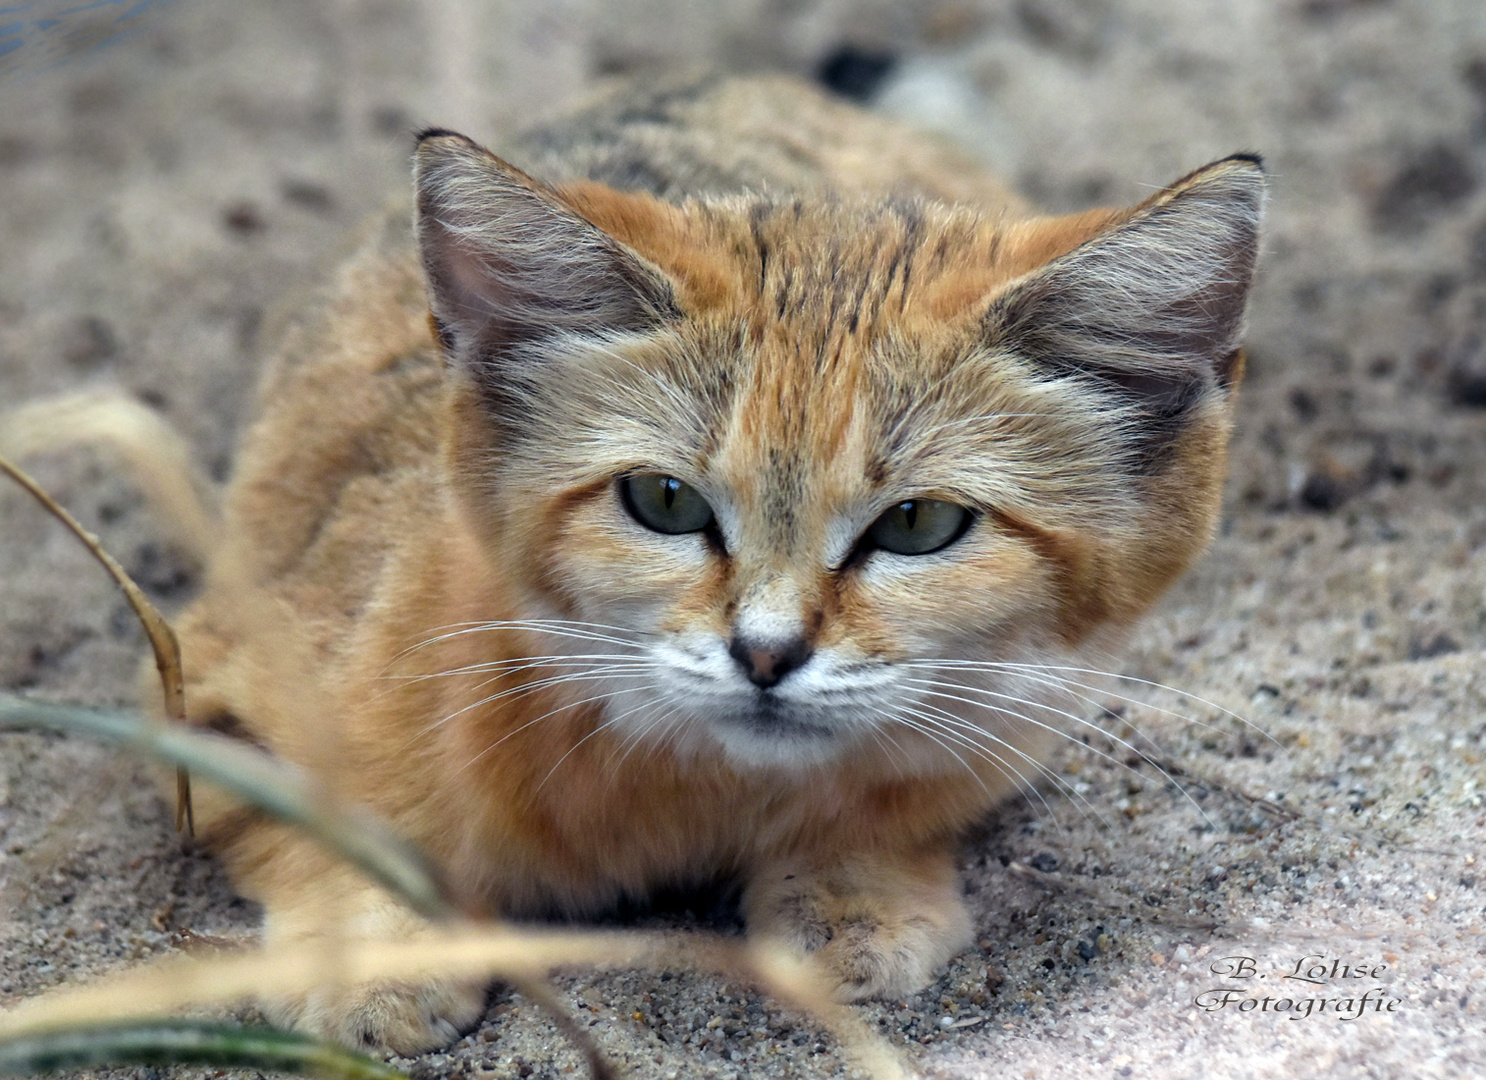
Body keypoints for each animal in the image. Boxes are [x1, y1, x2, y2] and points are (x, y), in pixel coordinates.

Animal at [156, 76, 1260, 1057]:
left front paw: (853, 894)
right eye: (664, 502)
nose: (764, 654)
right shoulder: (206, 678)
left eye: (918, 524)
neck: (693, 794)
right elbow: (320, 821)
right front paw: (373, 956)